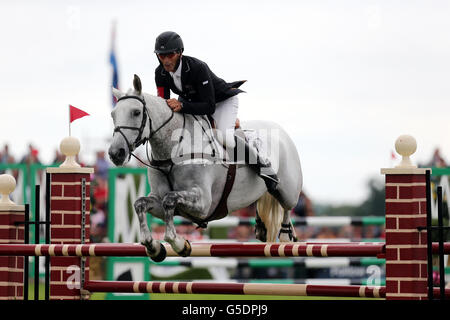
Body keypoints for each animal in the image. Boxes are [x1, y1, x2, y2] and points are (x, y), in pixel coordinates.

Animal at [107, 75, 302, 262]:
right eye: (113, 115)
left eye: (136, 112)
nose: (116, 153)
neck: (173, 150)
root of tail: (280, 131)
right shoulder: (159, 201)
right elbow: (140, 204)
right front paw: (153, 247)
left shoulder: (203, 203)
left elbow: (170, 200)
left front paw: (179, 244)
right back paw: (261, 227)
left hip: (288, 190)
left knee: (287, 205)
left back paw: (286, 235)